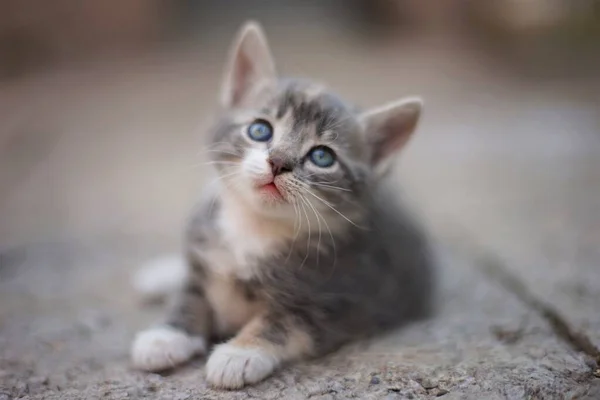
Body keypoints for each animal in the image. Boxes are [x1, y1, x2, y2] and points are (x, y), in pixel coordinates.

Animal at [129, 21, 434, 388]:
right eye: (260, 130)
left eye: (322, 156)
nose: (278, 162)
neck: (255, 226)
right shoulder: (205, 248)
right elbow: (190, 294)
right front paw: (166, 335)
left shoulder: (337, 303)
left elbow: (281, 324)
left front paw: (239, 354)